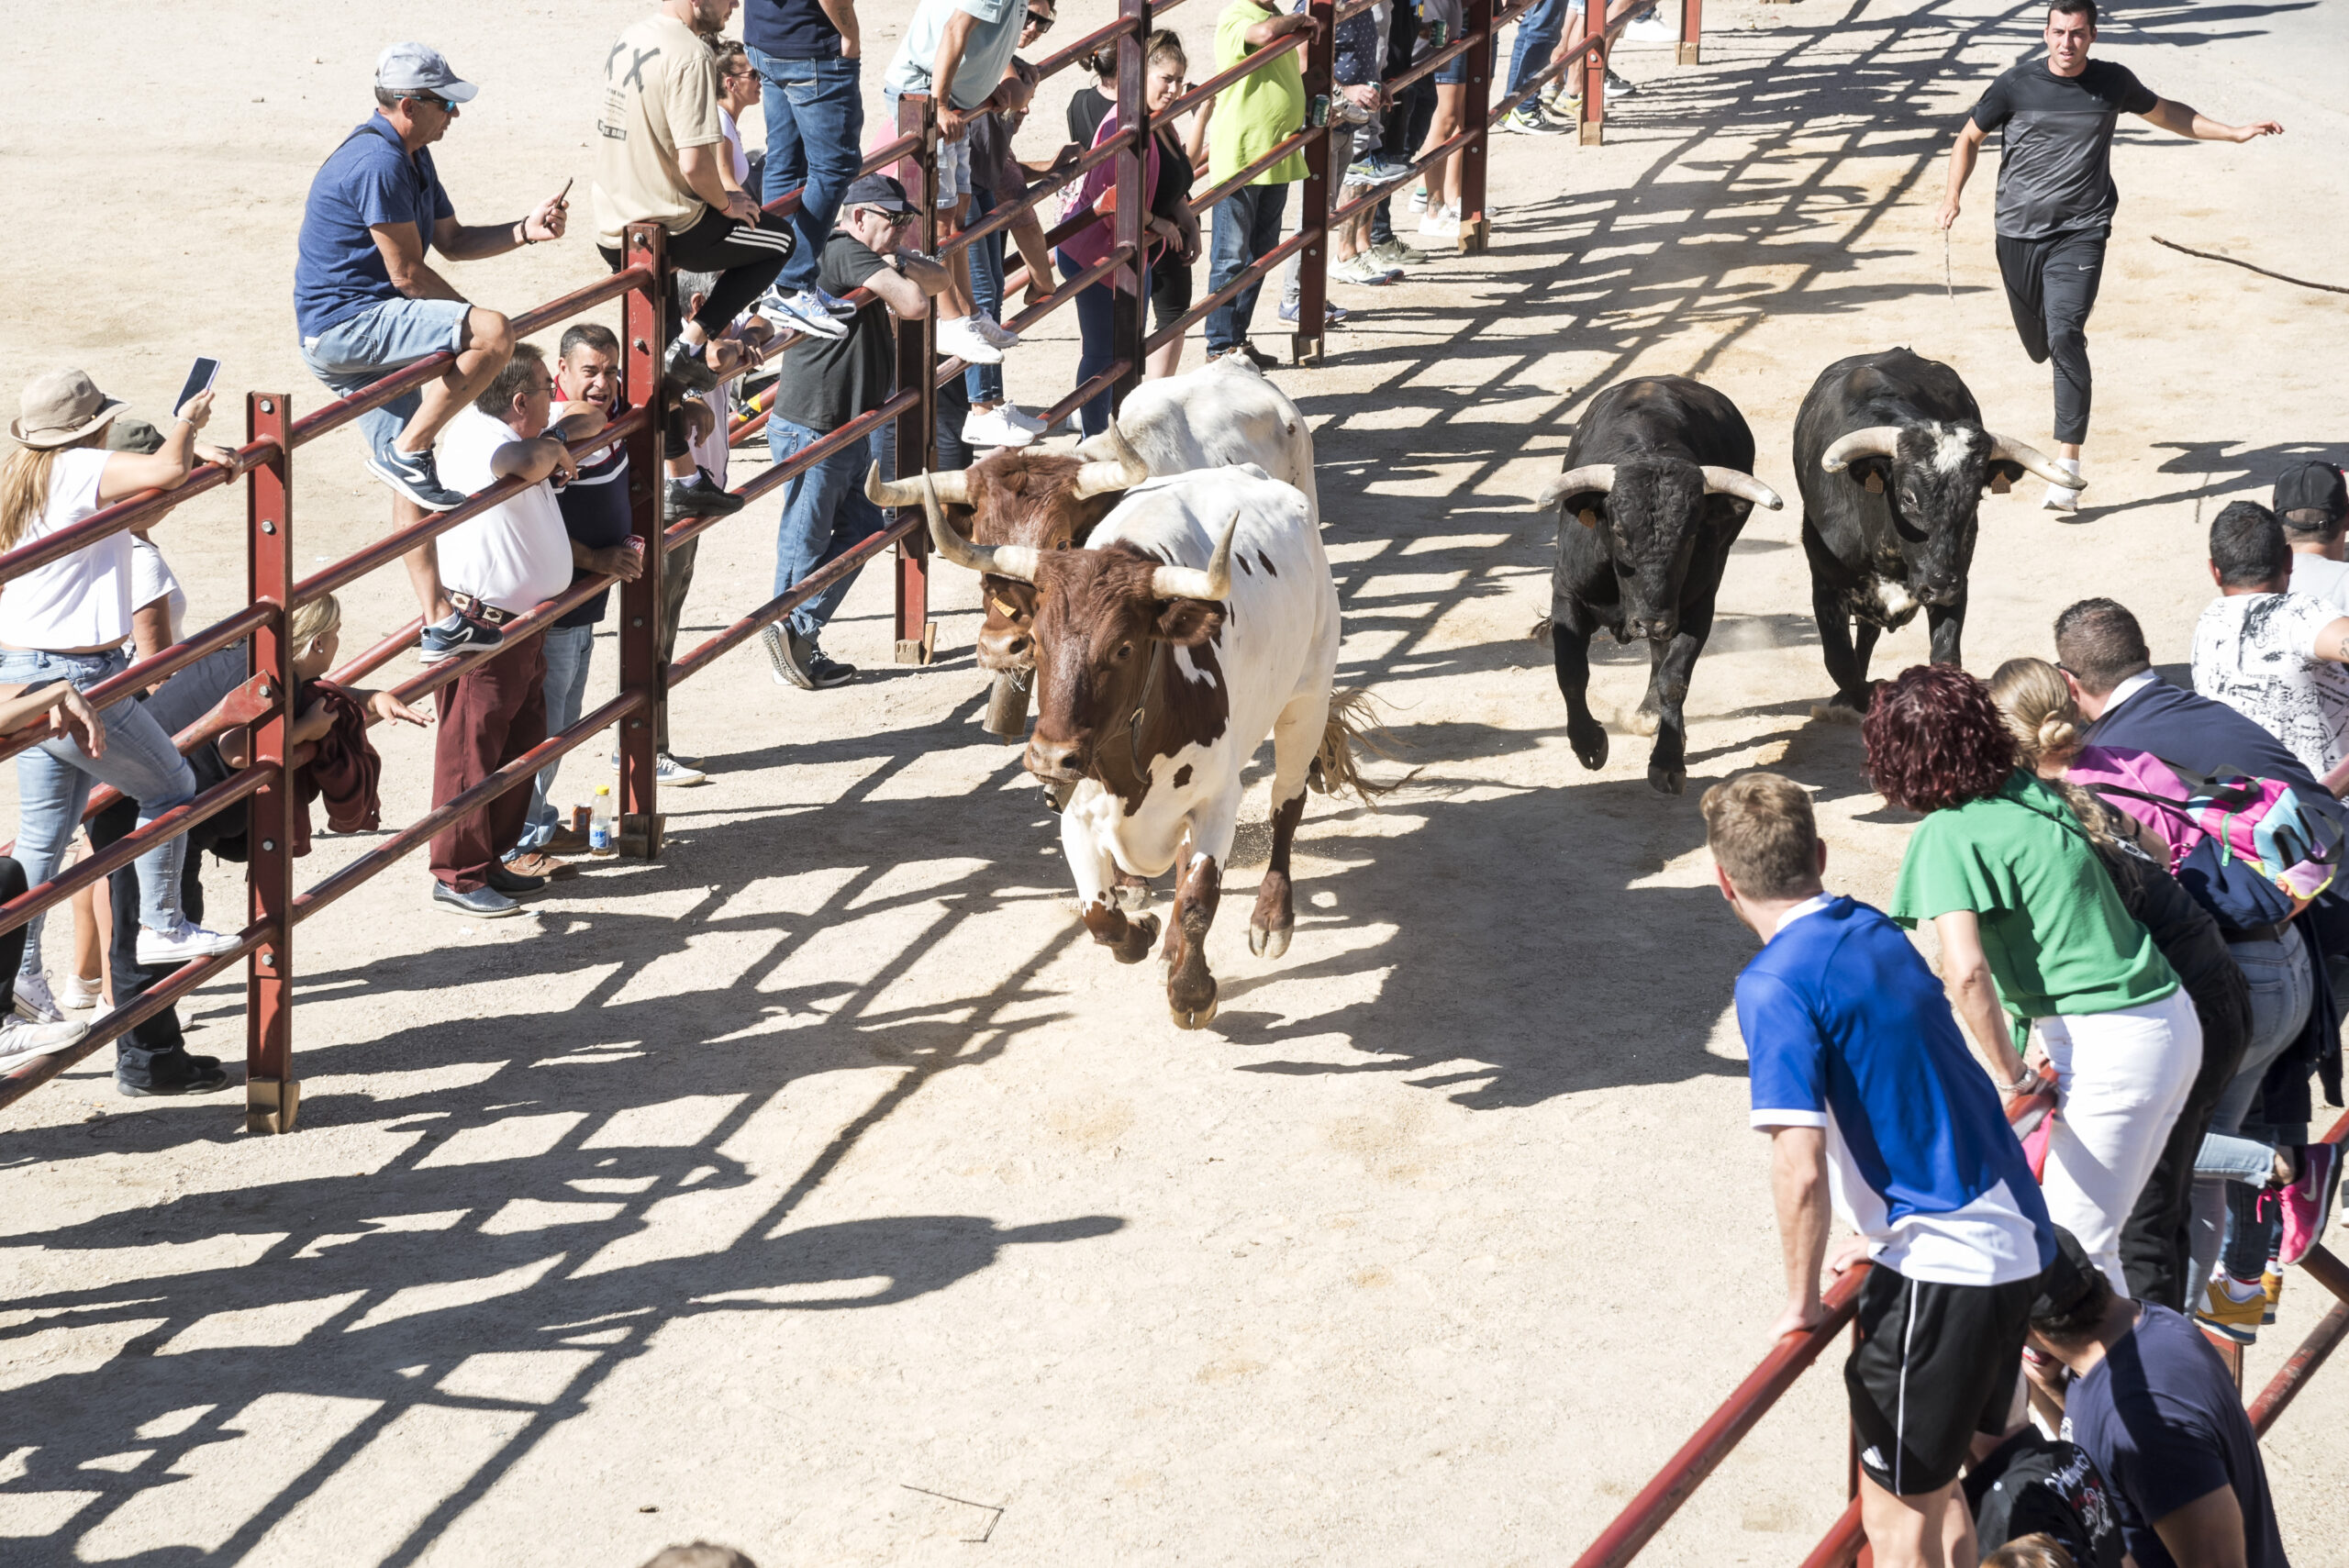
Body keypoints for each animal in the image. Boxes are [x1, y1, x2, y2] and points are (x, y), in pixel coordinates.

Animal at [911, 462, 1372, 1028]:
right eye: (1037, 640)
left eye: (1124, 648)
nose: (1049, 756)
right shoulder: (1076, 813)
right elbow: (1100, 914)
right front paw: (1147, 933)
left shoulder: (1218, 800)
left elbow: (1198, 900)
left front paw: (1192, 993)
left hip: (1306, 696)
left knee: (1287, 802)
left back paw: (1271, 918)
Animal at [1541, 375, 1776, 797]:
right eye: (1618, 531)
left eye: (1692, 534)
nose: (1650, 621)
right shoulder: (1567, 594)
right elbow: (1571, 671)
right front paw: (1589, 744)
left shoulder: (1697, 607)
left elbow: (1674, 678)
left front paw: (1667, 761)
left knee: (1660, 657)